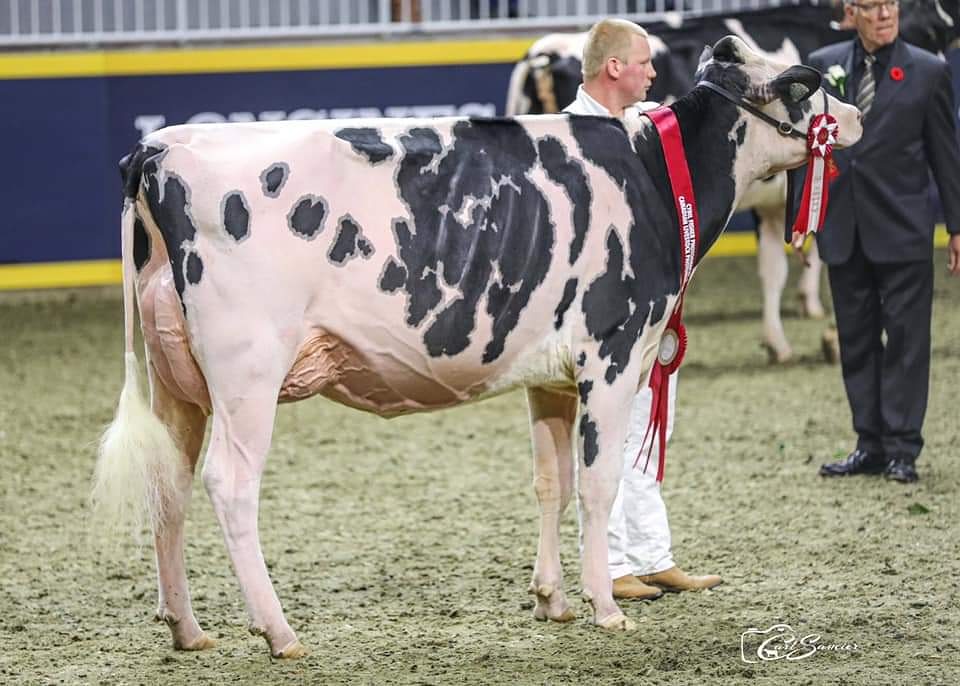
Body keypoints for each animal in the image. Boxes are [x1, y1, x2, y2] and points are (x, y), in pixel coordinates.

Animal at [91, 35, 862, 658]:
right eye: (804, 86)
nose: (854, 115)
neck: (653, 174)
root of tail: (161, 148)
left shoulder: (550, 375)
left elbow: (551, 482)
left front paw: (552, 600)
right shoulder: (614, 356)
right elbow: (598, 484)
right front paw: (606, 607)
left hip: (176, 378)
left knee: (169, 484)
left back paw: (188, 629)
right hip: (247, 372)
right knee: (230, 485)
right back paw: (279, 632)